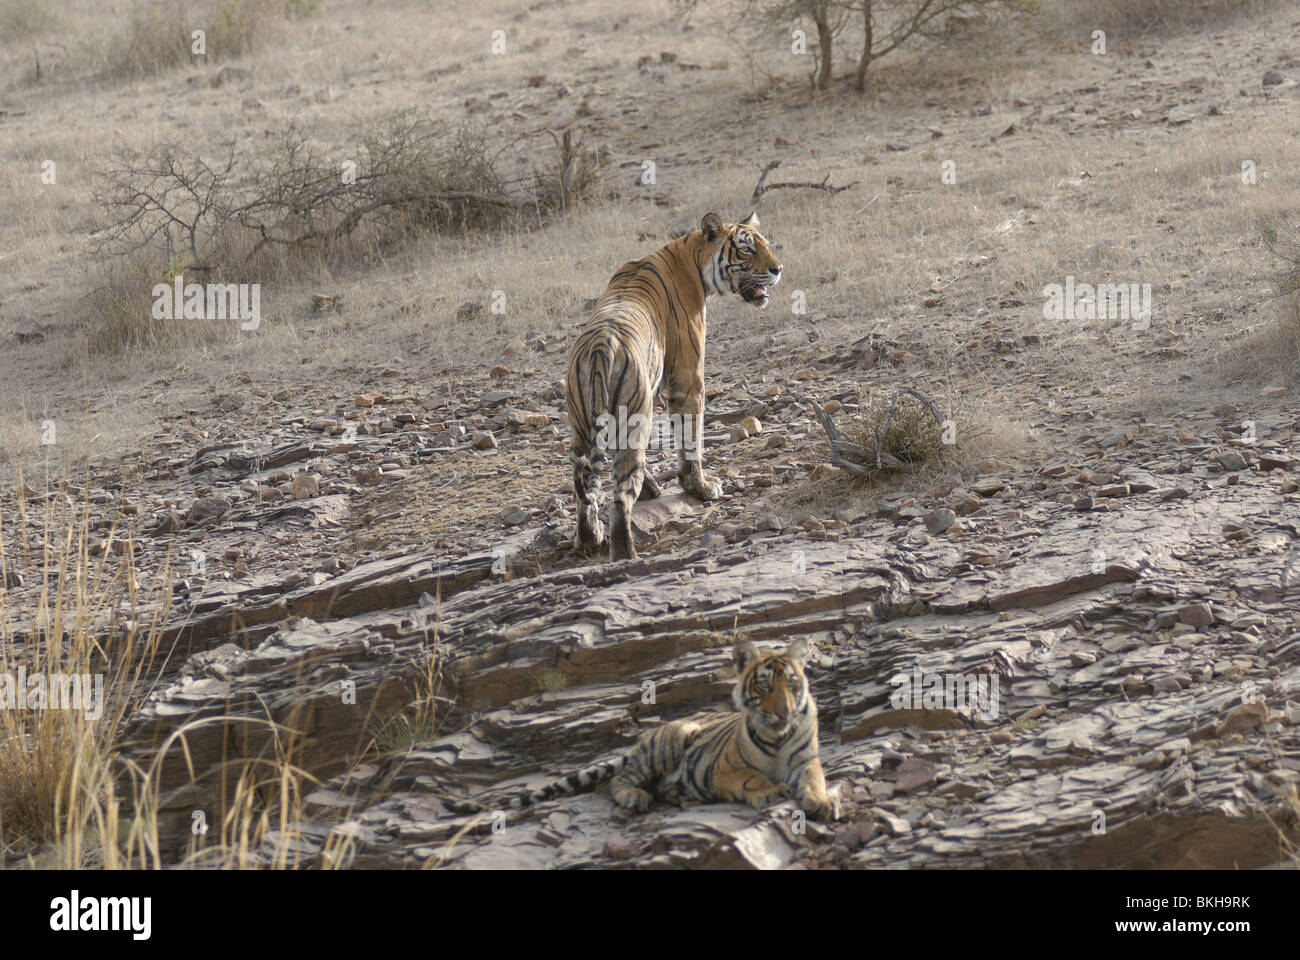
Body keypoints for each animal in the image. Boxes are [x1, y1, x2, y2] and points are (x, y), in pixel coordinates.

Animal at [441, 640, 837, 816]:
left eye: (792, 684)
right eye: (765, 685)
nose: (783, 714)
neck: (778, 737)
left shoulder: (807, 762)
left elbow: (814, 780)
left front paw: (821, 802)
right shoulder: (726, 768)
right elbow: (752, 778)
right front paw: (770, 791)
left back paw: (681, 796)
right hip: (672, 740)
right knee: (621, 779)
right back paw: (637, 797)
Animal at [566, 208, 780, 554]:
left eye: (765, 245)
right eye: (747, 249)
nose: (778, 269)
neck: (690, 256)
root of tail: (600, 349)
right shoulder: (687, 378)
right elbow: (691, 439)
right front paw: (701, 488)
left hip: (581, 427)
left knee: (584, 489)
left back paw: (589, 538)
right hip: (632, 418)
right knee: (620, 496)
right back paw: (626, 554)